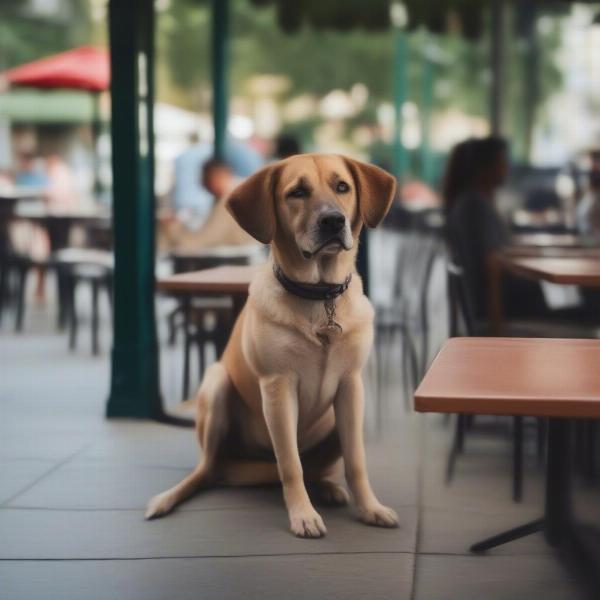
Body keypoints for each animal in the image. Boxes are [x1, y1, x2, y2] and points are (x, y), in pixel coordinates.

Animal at [145, 155, 398, 540]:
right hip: (217, 383)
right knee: (208, 469)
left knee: (313, 468)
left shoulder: (351, 387)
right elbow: (290, 463)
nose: (333, 221)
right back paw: (170, 497)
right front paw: (302, 515)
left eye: (342, 187)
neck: (319, 296)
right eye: (297, 192)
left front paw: (370, 508)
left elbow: (356, 460)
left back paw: (327, 488)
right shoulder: (278, 388)